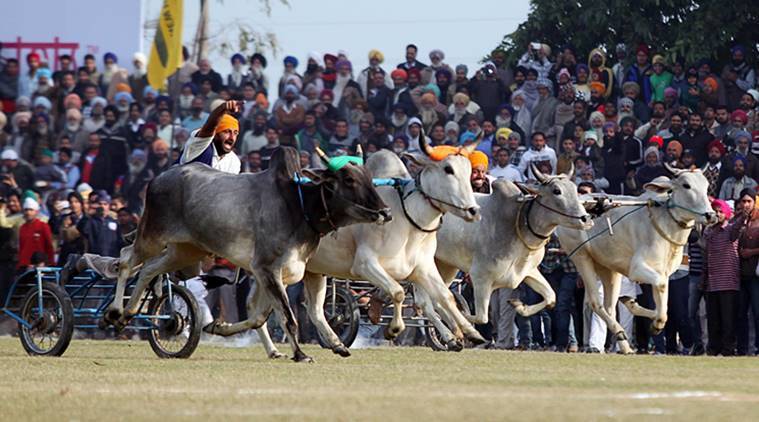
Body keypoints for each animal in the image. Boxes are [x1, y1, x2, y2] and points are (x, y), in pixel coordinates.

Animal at [108, 147, 392, 362]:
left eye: (369, 176)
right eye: (349, 179)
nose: (386, 212)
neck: (298, 207)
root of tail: (158, 178)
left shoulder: (288, 272)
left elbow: (268, 316)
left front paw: (336, 344)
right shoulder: (267, 269)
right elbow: (288, 318)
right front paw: (300, 355)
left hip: (185, 251)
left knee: (148, 270)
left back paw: (127, 315)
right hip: (152, 236)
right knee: (126, 260)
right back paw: (114, 313)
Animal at [434, 165, 592, 326]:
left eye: (574, 189)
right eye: (556, 191)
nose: (586, 219)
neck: (519, 223)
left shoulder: (528, 271)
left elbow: (551, 297)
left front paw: (519, 305)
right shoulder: (480, 277)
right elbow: (480, 318)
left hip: (447, 266)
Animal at [556, 165, 716, 352]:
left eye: (706, 187)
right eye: (686, 185)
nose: (711, 215)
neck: (665, 221)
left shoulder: (664, 272)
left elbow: (663, 295)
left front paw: (653, 318)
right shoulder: (637, 269)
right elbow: (661, 286)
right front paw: (657, 324)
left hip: (609, 269)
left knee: (608, 307)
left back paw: (625, 343)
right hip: (581, 257)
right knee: (595, 303)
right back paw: (619, 332)